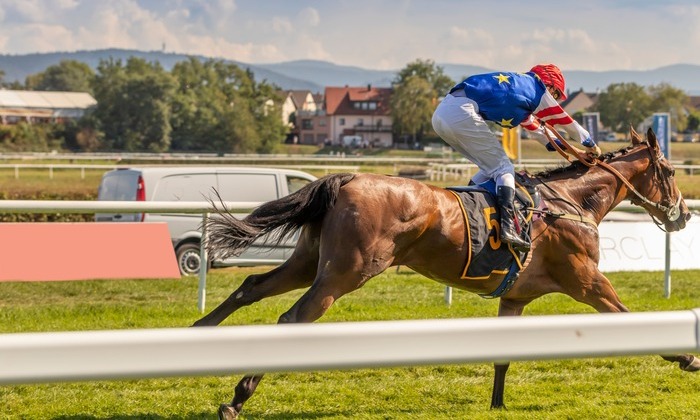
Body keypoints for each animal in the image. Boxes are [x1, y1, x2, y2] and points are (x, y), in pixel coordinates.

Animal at [191, 126, 696, 418]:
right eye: (670, 171)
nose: (683, 215)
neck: (569, 204)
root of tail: (347, 177)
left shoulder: (515, 297)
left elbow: (503, 355)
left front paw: (497, 403)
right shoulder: (588, 282)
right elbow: (627, 316)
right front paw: (687, 357)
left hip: (309, 262)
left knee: (251, 287)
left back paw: (197, 334)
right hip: (345, 273)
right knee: (291, 319)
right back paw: (237, 397)